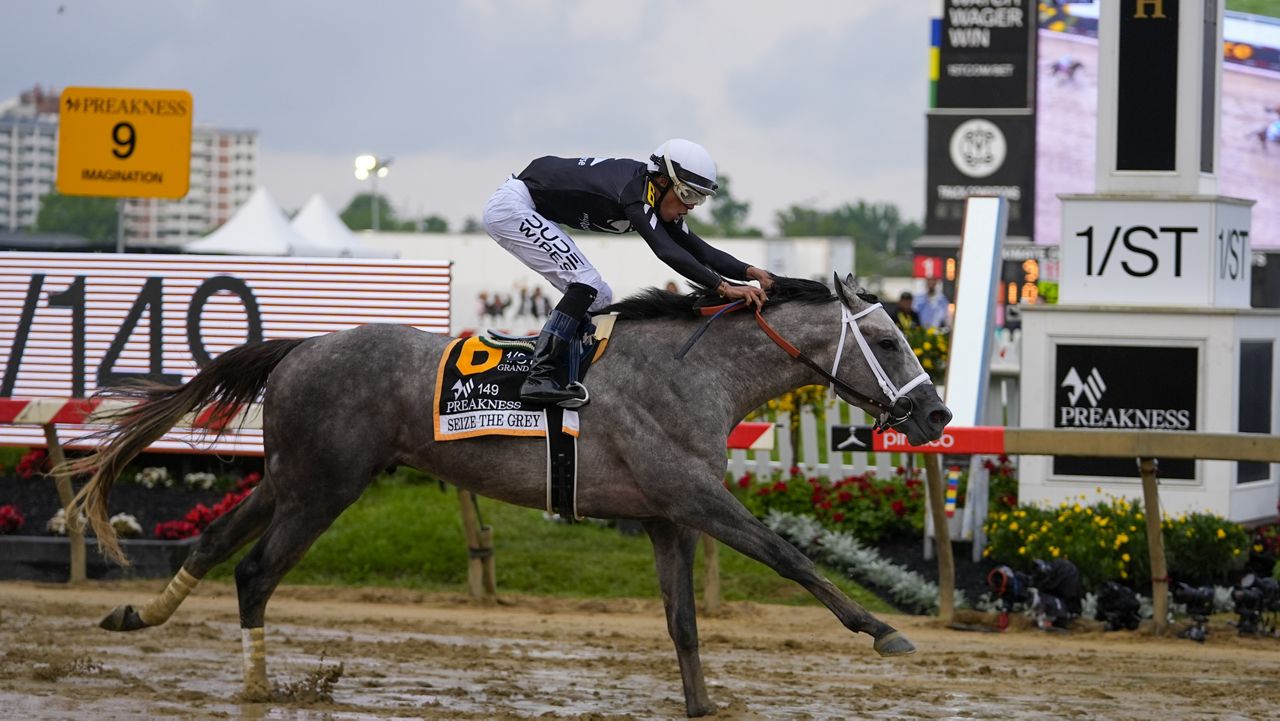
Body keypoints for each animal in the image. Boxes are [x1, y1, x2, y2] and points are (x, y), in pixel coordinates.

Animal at [67, 274, 952, 717]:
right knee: (255, 572)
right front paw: (884, 630)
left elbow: (684, 624)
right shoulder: (696, 497)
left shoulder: (666, 518)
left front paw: (703, 705)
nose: (937, 413)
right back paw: (255, 689)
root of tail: (303, 346)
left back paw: (136, 614)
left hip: (292, 476)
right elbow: (791, 558)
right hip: (326, 486)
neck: (693, 372)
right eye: (885, 339)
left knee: (213, 542)